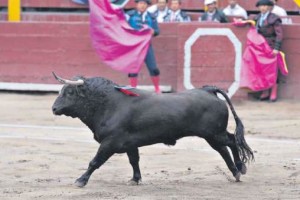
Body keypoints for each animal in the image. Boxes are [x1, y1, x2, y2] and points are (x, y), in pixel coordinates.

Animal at [51, 73, 253, 188]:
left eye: (69, 92)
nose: (54, 108)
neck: (108, 104)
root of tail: (208, 90)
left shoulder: (110, 143)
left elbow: (95, 162)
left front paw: (80, 181)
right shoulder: (129, 143)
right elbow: (134, 161)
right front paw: (135, 180)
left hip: (214, 134)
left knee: (231, 141)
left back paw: (239, 169)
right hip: (212, 135)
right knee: (224, 148)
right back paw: (236, 172)